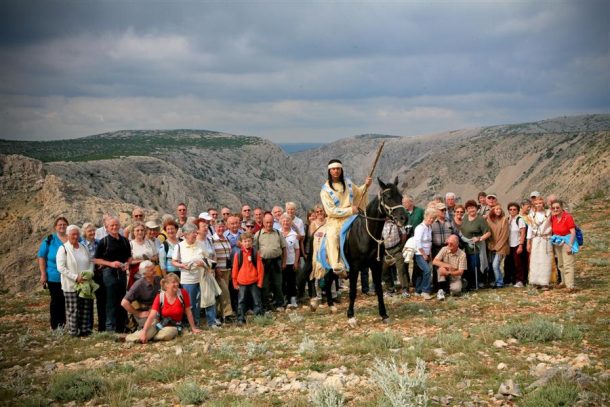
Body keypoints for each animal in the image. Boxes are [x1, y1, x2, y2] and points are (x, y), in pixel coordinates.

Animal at [320, 178, 406, 328]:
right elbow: (353, 291)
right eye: (388, 197)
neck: (366, 233)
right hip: (331, 265)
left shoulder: (376, 265)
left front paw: (384, 314)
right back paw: (328, 305)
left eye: (400, 197)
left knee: (329, 279)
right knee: (327, 280)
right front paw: (351, 316)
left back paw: (331, 305)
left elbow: (379, 289)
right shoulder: (354, 267)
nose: (403, 218)